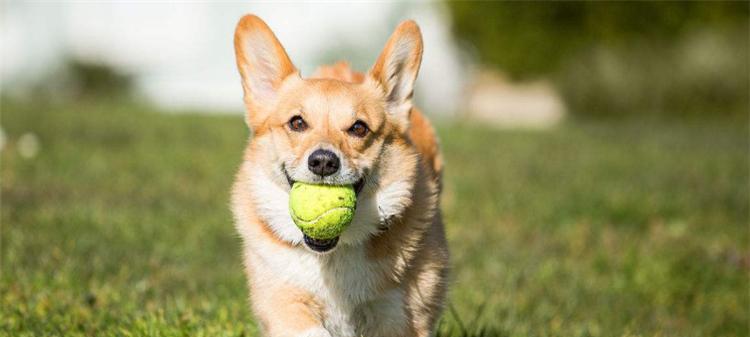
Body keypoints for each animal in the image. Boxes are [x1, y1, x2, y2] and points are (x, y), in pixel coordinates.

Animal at [232, 13, 450, 336]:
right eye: (297, 122)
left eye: (359, 128)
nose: (323, 162)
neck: (333, 253)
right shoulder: (285, 303)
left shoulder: (400, 315)